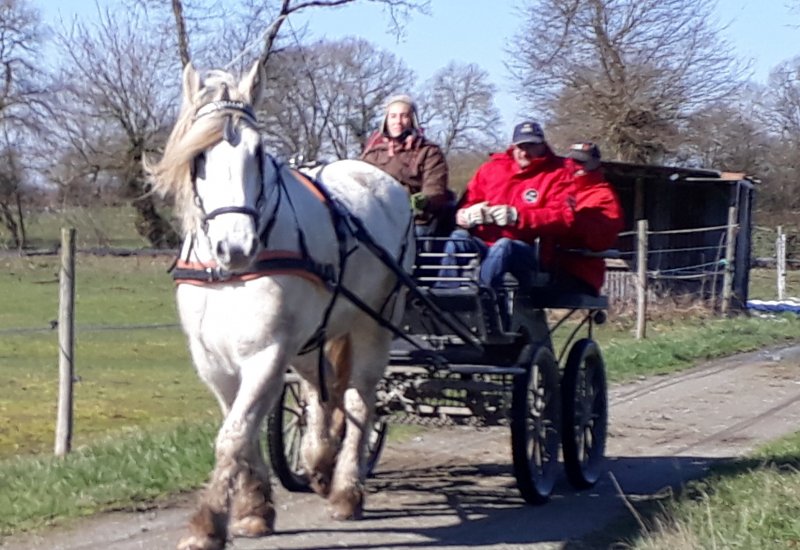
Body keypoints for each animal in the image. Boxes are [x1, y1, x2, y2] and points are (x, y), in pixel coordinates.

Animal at [146, 62, 416, 548]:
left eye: (257, 153)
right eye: (200, 156)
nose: (235, 247)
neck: (229, 278)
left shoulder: (267, 354)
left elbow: (233, 435)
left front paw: (208, 523)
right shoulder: (213, 361)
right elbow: (244, 431)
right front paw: (254, 508)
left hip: (375, 325)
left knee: (358, 402)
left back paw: (346, 489)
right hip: (311, 339)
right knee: (320, 389)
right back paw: (320, 459)